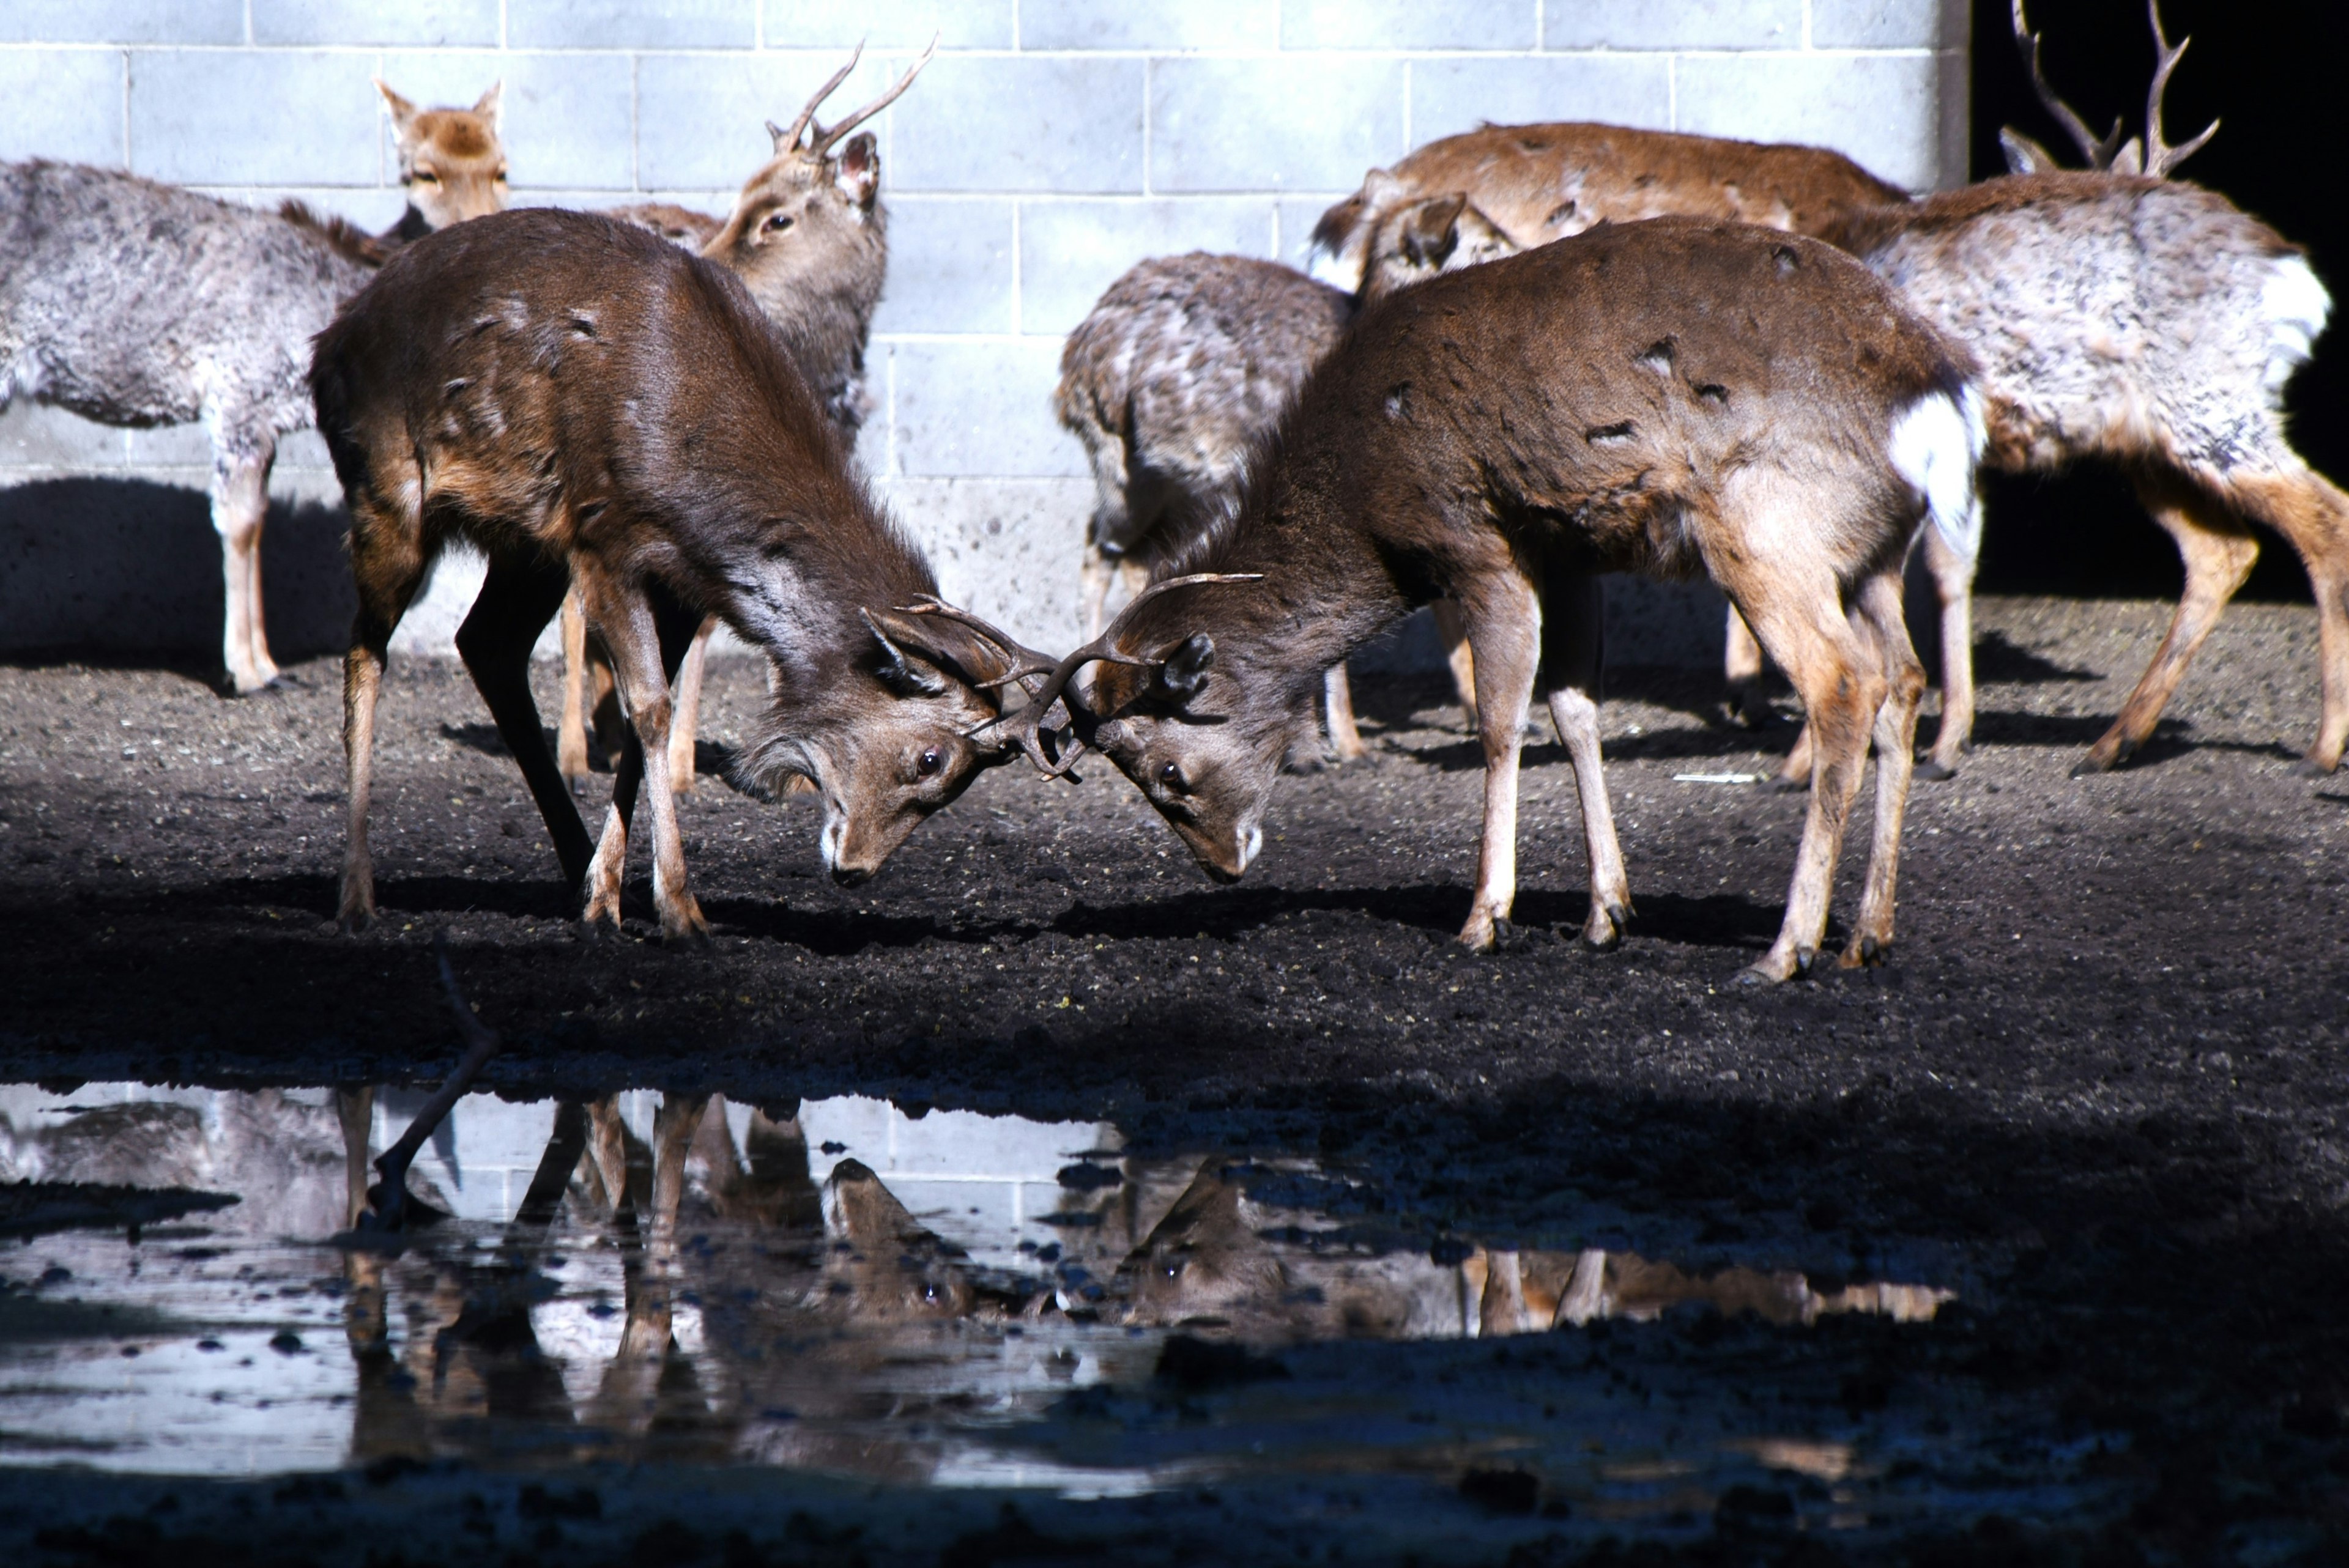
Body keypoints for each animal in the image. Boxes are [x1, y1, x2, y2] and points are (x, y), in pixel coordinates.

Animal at [0, 83, 507, 695]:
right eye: (423, 173)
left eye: (501, 168)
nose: (482, 231)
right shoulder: (239, 393)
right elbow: (238, 524)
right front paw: (245, 670)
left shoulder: (265, 416)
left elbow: (260, 520)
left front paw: (266, 660)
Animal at [308, 207, 1052, 944]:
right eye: (931, 759)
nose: (856, 870)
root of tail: (326, 345)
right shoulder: (604, 535)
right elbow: (652, 710)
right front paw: (680, 908)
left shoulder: (685, 582)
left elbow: (644, 723)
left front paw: (605, 897)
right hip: (387, 489)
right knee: (365, 650)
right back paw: (357, 895)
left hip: (525, 545)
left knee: (486, 642)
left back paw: (572, 863)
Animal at [1052, 190, 1522, 765]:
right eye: (1483, 244)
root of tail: (1074, 358)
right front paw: (1338, 745)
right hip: (1118, 462)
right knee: (1099, 550)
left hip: (1178, 488)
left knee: (1145, 562)